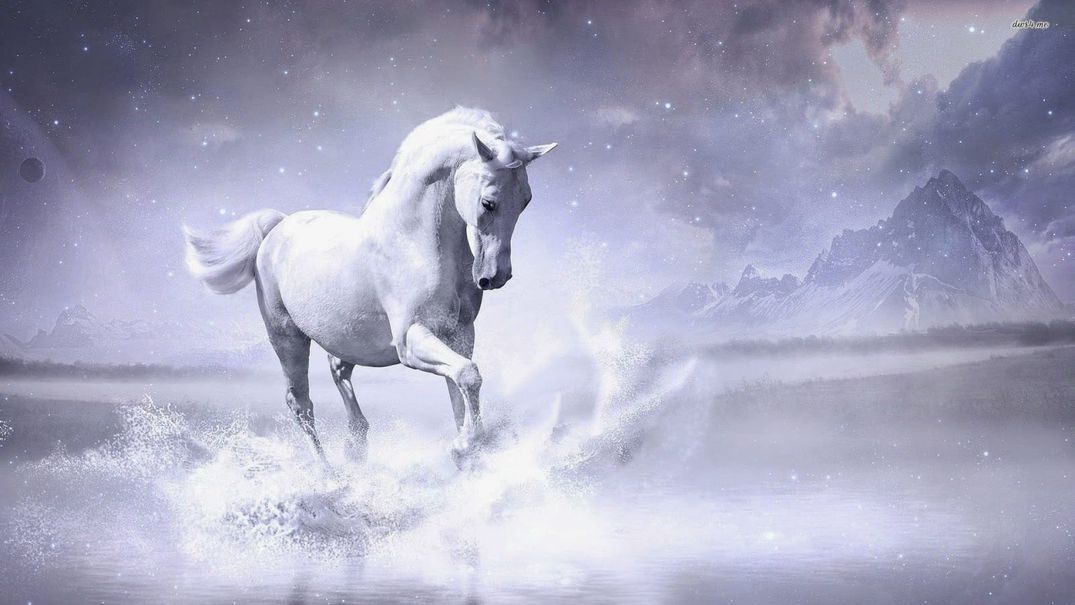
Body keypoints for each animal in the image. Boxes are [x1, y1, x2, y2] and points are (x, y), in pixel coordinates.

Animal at [182, 107, 556, 465]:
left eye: (526, 200)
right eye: (488, 202)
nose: (496, 276)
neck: (413, 241)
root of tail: (277, 228)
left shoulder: (459, 335)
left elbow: (459, 390)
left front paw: (469, 452)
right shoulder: (411, 340)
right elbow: (467, 375)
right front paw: (464, 446)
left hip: (349, 339)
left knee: (337, 371)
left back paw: (356, 444)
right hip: (287, 338)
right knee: (300, 404)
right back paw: (329, 474)